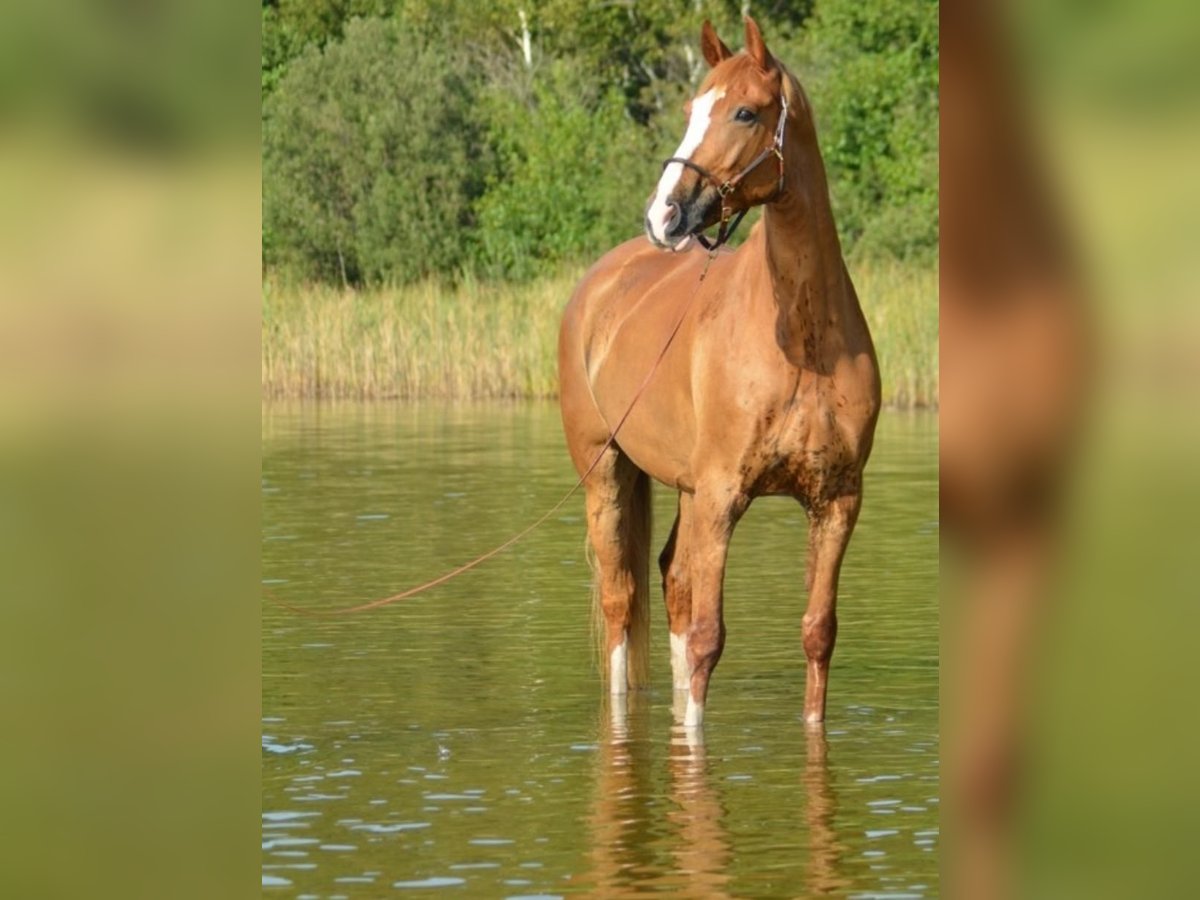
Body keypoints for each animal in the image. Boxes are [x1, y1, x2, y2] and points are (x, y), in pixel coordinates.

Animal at [558, 17, 880, 727]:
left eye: (744, 112)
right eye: (689, 109)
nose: (664, 214)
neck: (804, 344)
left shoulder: (837, 501)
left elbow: (817, 633)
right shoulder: (724, 496)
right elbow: (709, 638)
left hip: (685, 489)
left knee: (673, 584)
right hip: (607, 472)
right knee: (621, 601)